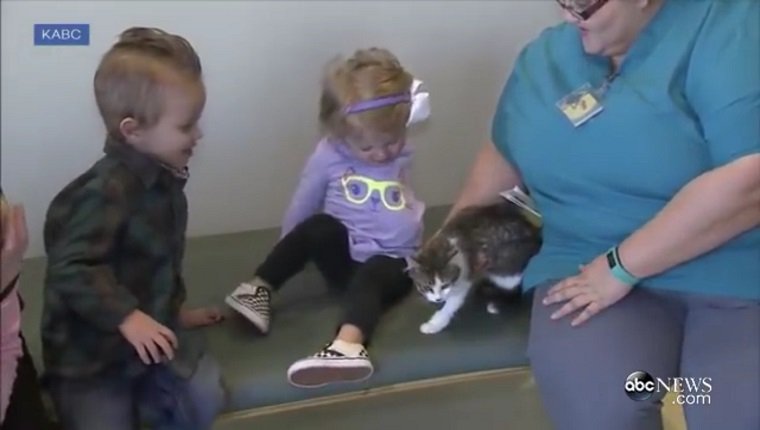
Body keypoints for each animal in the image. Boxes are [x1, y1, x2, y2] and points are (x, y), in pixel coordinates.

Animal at [406, 200, 544, 334]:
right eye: (426, 287)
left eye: (445, 285)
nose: (438, 299)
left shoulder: (465, 275)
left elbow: (451, 304)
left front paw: (435, 323)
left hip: (507, 265)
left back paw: (498, 303)